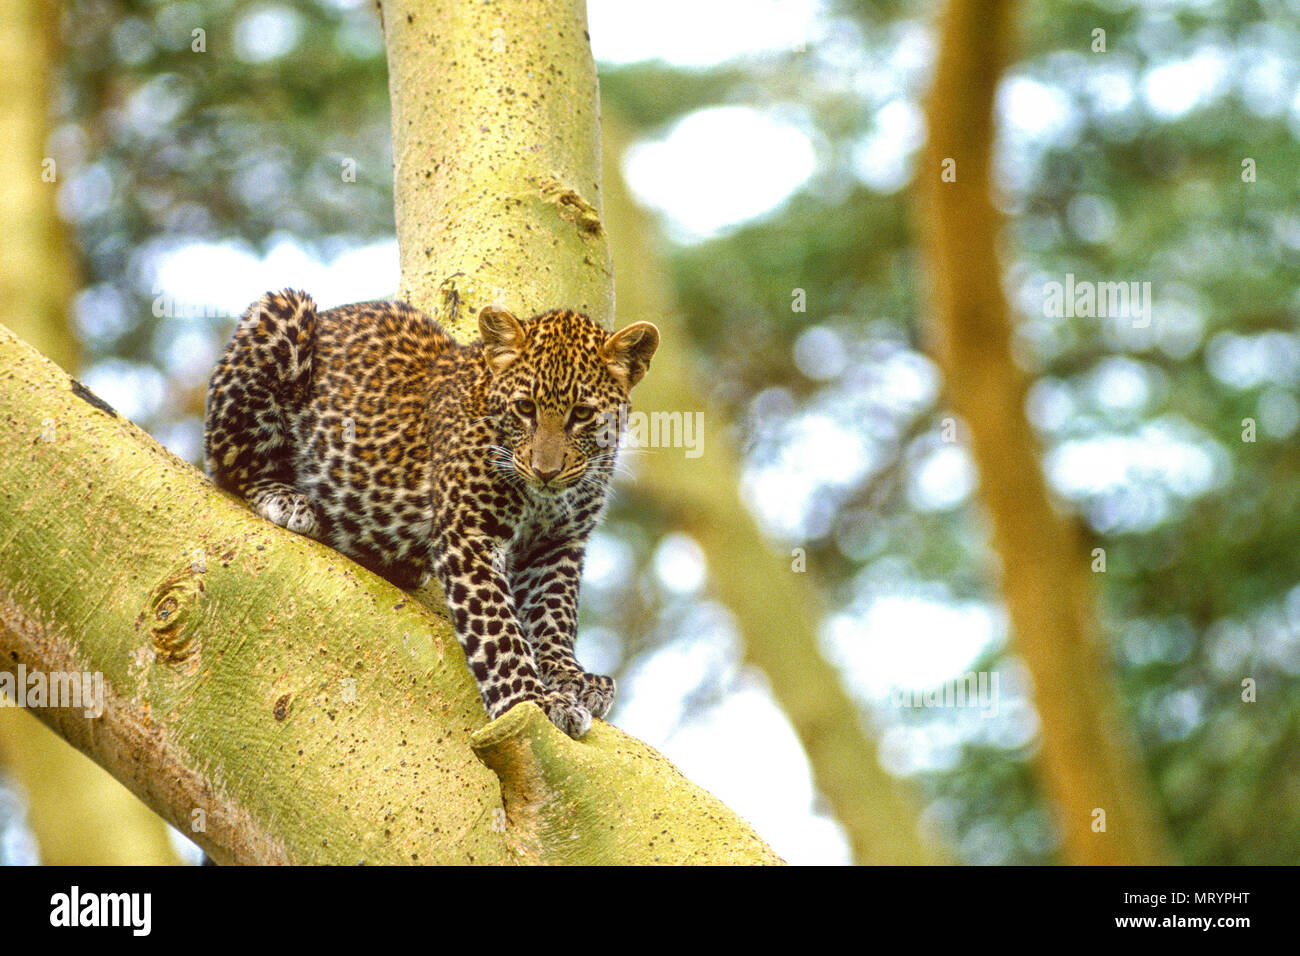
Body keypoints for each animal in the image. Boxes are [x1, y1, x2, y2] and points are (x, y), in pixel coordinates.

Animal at [203, 289, 658, 738]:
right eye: (525, 408)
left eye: (582, 414)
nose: (545, 471)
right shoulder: (470, 534)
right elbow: (498, 630)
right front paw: (534, 700)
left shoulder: (559, 543)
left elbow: (555, 613)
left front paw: (570, 676)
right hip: (284, 310)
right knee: (230, 466)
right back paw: (289, 499)